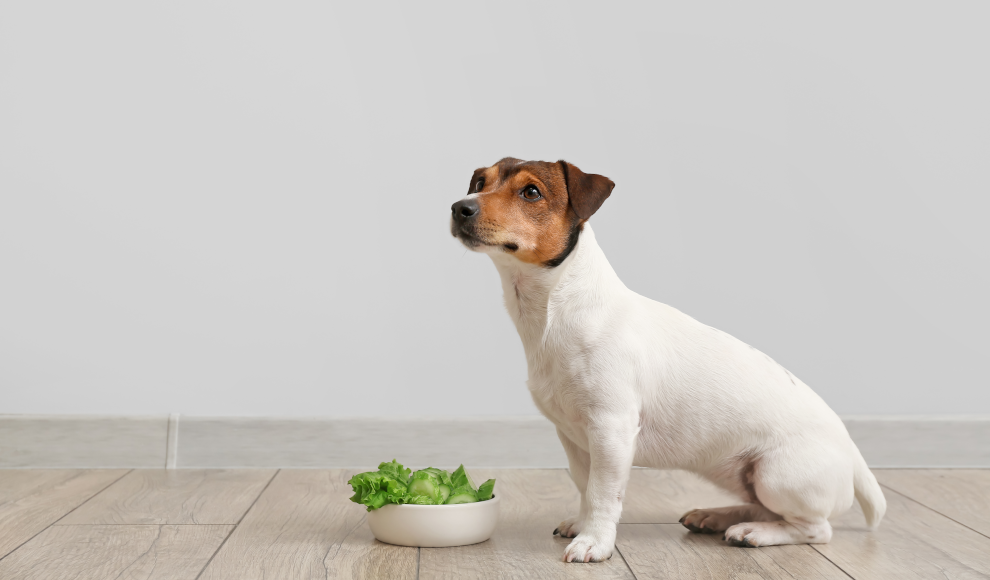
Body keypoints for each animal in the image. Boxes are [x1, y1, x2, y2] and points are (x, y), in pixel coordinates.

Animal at [454, 157, 888, 560]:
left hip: (776, 475)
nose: (460, 207)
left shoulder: (611, 430)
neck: (556, 311)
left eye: (531, 192)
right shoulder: (573, 437)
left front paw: (594, 542)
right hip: (742, 475)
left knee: (813, 527)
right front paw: (582, 525)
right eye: (479, 182)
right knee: (765, 508)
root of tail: (852, 450)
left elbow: (602, 493)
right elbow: (583, 484)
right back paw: (718, 516)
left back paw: (754, 532)